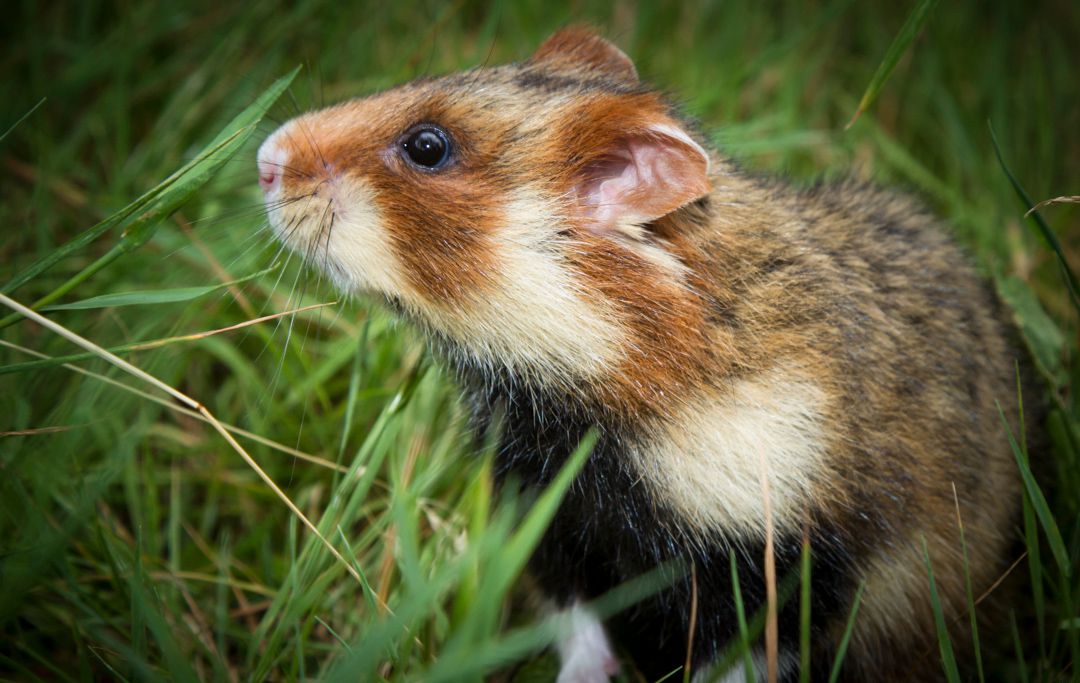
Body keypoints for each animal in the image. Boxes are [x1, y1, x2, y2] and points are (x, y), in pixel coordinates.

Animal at [257, 26, 1032, 682]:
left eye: (427, 147)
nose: (264, 158)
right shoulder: (546, 510)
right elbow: (577, 624)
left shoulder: (785, 556)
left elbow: (745, 657)